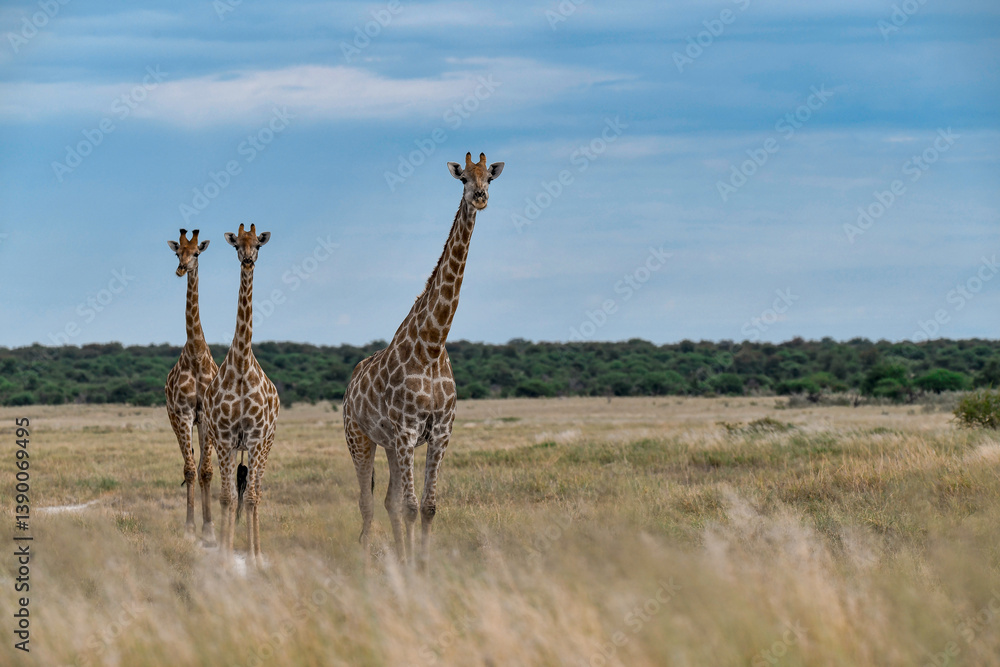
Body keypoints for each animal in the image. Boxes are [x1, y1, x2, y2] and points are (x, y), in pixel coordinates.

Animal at [343, 152, 504, 567]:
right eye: (463, 178)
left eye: (489, 178)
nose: (480, 197)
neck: (431, 345)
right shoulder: (406, 431)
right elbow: (412, 507)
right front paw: (411, 566)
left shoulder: (440, 432)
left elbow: (427, 507)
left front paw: (422, 564)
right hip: (360, 439)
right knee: (367, 502)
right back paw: (364, 557)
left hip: (388, 445)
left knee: (388, 501)